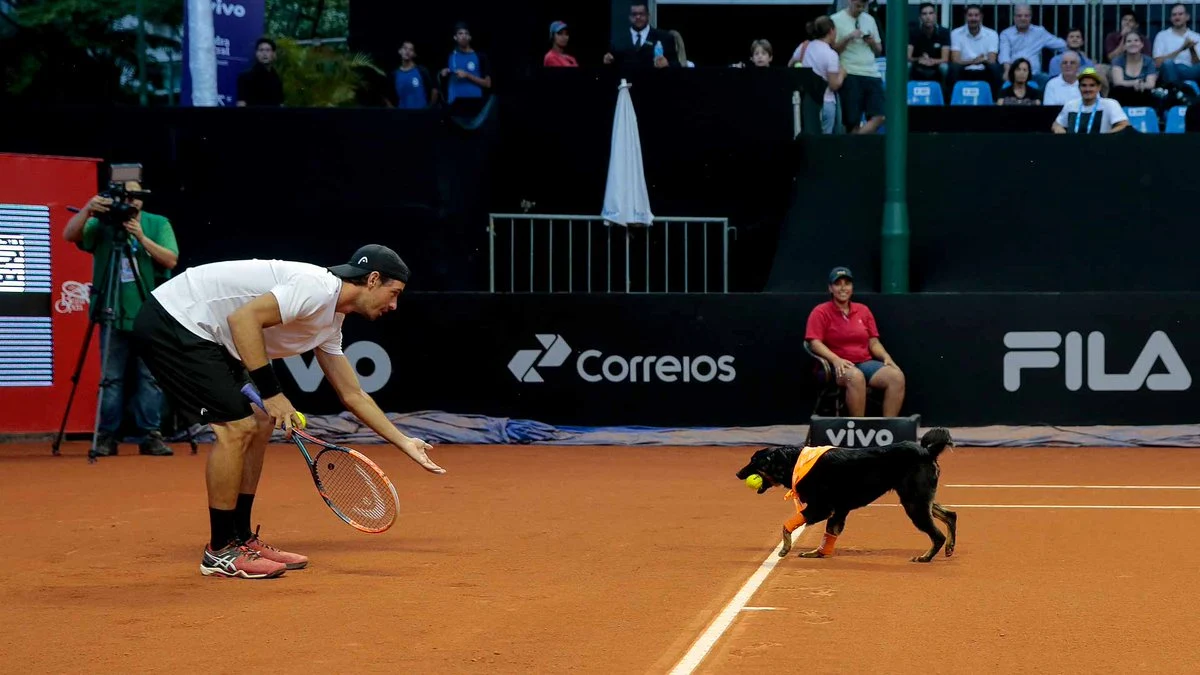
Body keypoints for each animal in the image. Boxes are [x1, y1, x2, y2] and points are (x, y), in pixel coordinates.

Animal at [729, 427, 955, 559]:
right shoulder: (838, 510)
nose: (738, 474)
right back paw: (949, 547)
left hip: (914, 503)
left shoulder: (821, 508)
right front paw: (819, 553)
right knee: (951, 515)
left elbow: (786, 525)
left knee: (937, 535)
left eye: (754, 462)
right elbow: (830, 533)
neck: (793, 462)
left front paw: (786, 548)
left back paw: (926, 557)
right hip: (919, 499)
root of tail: (928, 451)